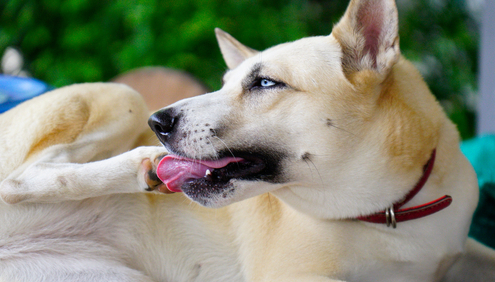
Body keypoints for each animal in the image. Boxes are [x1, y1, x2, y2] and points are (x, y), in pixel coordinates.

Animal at [0, 0, 495, 280]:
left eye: (266, 83)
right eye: (223, 84)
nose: (159, 122)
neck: (391, 212)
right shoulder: (294, 275)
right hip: (124, 96)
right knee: (18, 180)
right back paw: (140, 165)